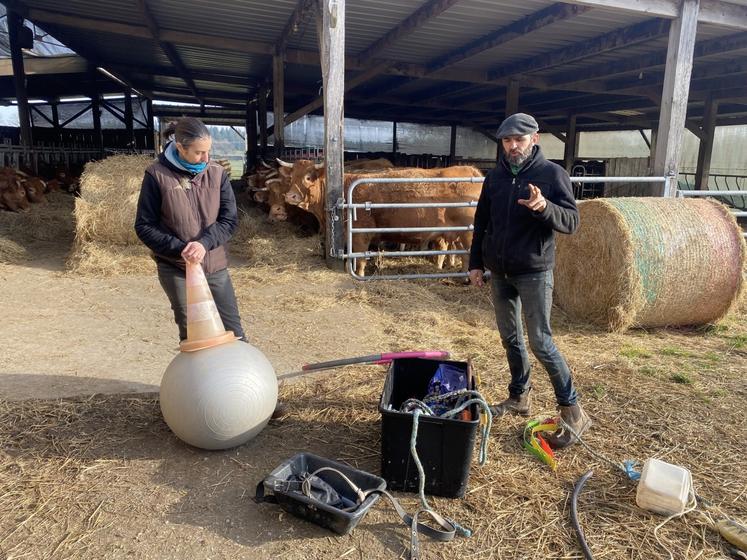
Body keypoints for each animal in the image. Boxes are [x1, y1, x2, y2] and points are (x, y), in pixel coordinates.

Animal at [284, 160, 482, 276]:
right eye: (291, 177)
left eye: (308, 177)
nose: (290, 196)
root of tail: (471, 171)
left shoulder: (360, 234)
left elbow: (360, 259)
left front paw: (359, 275)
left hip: (468, 233)